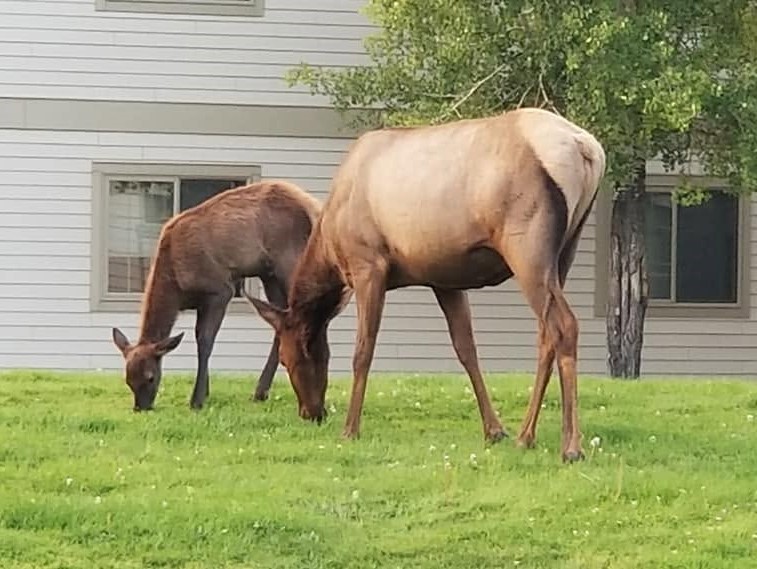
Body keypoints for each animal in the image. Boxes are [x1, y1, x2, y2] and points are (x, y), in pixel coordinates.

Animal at [111, 179, 322, 412]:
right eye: (128, 380)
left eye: (150, 377)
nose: (141, 407)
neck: (176, 287)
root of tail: (313, 206)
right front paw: (206, 391)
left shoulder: (219, 290)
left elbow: (205, 340)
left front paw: (197, 399)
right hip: (269, 275)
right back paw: (261, 392)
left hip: (290, 260)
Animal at [245, 107, 606, 463]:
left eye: (287, 358)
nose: (311, 412)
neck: (328, 246)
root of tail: (585, 148)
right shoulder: (444, 279)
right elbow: (466, 349)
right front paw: (494, 430)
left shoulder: (369, 265)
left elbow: (363, 351)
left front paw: (350, 429)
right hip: (565, 250)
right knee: (546, 333)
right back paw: (525, 436)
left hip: (526, 246)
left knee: (564, 325)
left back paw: (571, 447)